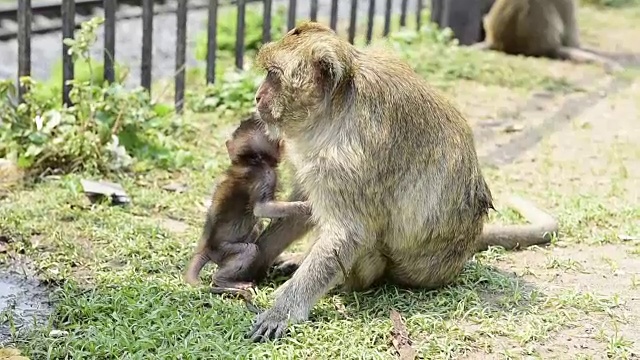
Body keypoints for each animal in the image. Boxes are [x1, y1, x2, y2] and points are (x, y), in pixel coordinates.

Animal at [184, 112, 312, 298]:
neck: (249, 161)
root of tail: (206, 247)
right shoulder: (267, 175)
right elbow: (261, 208)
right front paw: (303, 206)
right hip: (224, 250)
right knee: (249, 250)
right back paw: (222, 281)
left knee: (257, 226)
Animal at [246, 21, 560, 342]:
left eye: (273, 75)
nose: (257, 96)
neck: (337, 105)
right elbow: (304, 207)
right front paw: (252, 261)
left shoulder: (348, 156)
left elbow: (350, 233)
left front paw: (282, 311)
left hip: (397, 269)